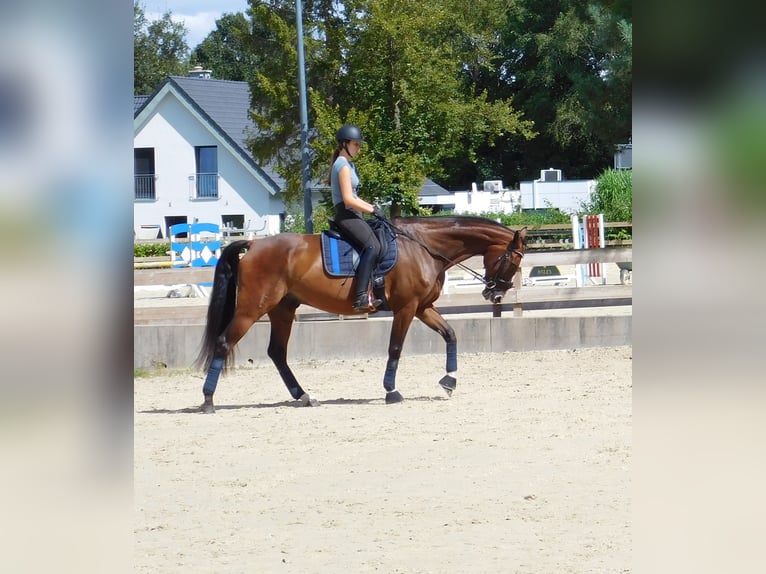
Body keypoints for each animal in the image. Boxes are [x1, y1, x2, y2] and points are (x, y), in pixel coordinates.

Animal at [196, 217, 528, 414]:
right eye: (513, 262)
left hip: (283, 309)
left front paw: (450, 381)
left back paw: (303, 396)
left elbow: (451, 334)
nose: (495, 295)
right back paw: (209, 400)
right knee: (224, 343)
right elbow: (395, 348)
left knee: (277, 352)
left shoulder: (423, 307)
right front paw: (392, 391)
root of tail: (253, 243)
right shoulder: (407, 308)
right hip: (252, 308)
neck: (425, 248)